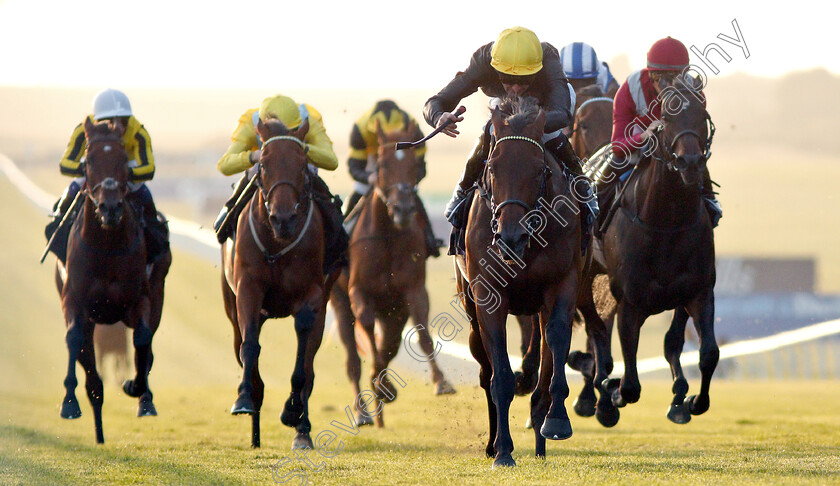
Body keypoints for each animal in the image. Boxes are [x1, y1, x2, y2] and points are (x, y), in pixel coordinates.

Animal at [55, 117, 171, 444]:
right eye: (90, 159)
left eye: (122, 160)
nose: (109, 207)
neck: (106, 244)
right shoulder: (74, 300)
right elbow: (74, 340)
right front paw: (69, 403)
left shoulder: (139, 300)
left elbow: (143, 339)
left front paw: (137, 388)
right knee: (88, 362)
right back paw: (97, 422)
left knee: (147, 345)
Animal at [223, 117, 342, 448]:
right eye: (263, 164)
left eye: (303, 164)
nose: (283, 219)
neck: (277, 243)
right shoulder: (247, 289)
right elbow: (249, 345)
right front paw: (243, 398)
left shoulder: (312, 294)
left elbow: (303, 361)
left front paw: (292, 411)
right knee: (242, 347)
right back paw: (255, 431)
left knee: (310, 365)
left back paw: (302, 429)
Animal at [330, 121, 460, 430]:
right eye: (383, 164)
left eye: (414, 164)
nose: (403, 209)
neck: (388, 235)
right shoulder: (359, 293)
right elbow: (367, 331)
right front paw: (380, 385)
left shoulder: (412, 291)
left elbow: (422, 334)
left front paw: (441, 382)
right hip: (340, 302)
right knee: (352, 359)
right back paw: (364, 412)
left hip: (394, 314)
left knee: (388, 346)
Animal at [452, 96, 584, 468]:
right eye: (493, 168)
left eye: (539, 169)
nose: (510, 237)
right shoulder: (488, 294)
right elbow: (500, 377)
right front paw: (503, 451)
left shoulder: (563, 283)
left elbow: (556, 341)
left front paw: (556, 421)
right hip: (470, 310)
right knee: (485, 372)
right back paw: (493, 443)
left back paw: (540, 442)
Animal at [580, 86, 720, 426]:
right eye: (667, 117)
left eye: (702, 113)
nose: (690, 162)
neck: (666, 221)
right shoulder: (630, 304)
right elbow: (630, 384)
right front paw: (613, 392)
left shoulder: (699, 291)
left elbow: (706, 353)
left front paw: (690, 400)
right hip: (583, 278)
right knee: (595, 328)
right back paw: (601, 393)